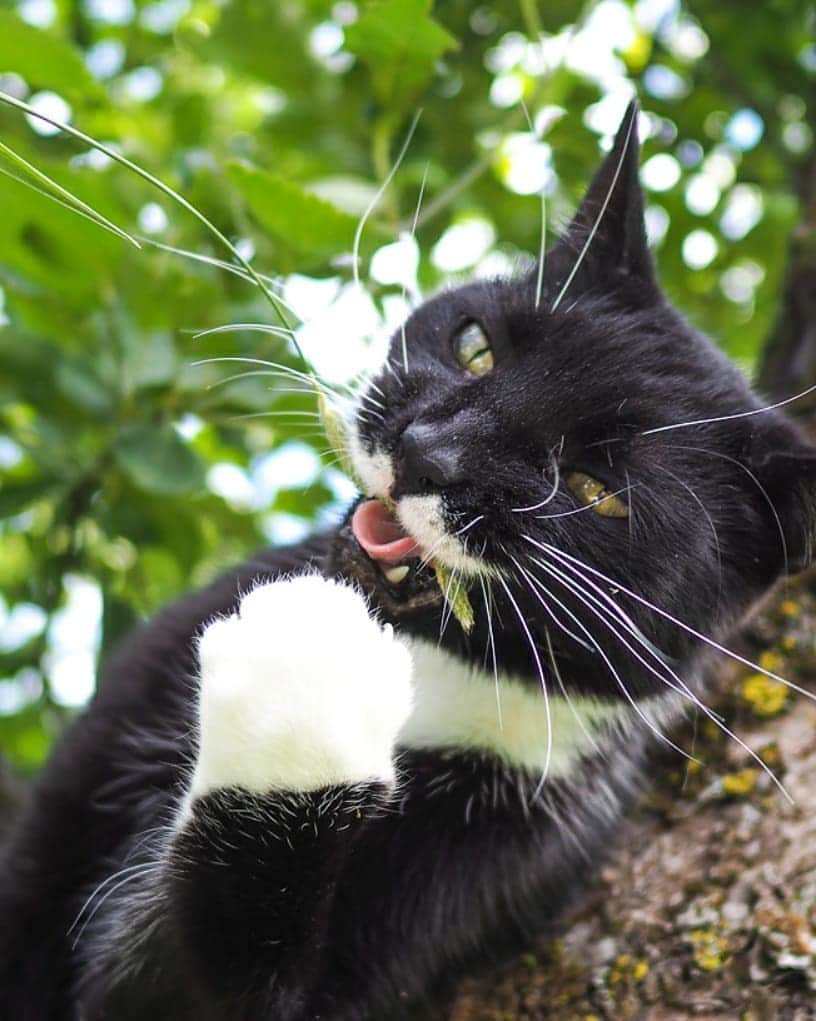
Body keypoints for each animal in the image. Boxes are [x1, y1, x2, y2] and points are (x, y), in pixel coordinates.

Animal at [3, 101, 812, 1021]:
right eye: (476, 346)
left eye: (597, 489)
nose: (427, 450)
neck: (434, 662)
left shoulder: (503, 842)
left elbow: (210, 983)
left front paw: (305, 671)